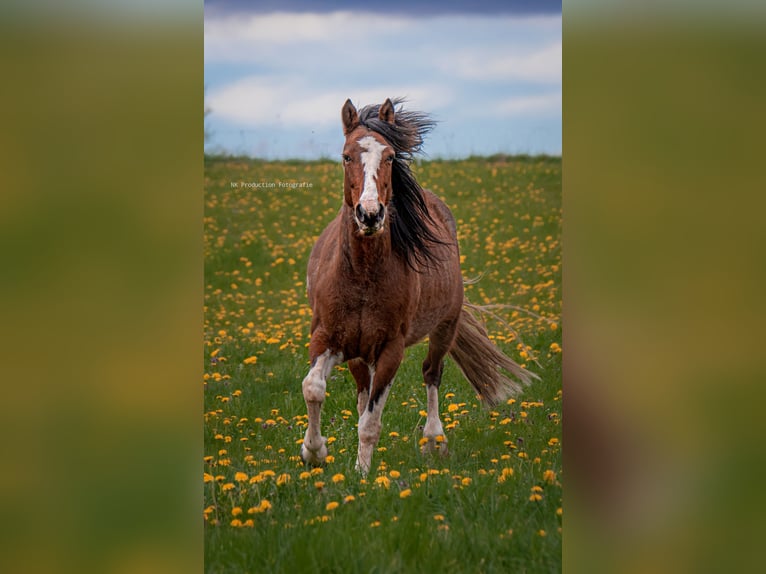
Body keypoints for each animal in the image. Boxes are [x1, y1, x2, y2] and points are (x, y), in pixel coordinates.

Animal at [300, 100, 540, 476]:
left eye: (389, 157)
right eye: (346, 156)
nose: (370, 214)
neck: (362, 276)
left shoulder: (391, 349)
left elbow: (371, 421)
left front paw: (362, 473)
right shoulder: (327, 337)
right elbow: (314, 388)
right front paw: (314, 451)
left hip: (445, 327)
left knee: (431, 374)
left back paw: (434, 442)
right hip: (358, 353)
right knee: (362, 389)